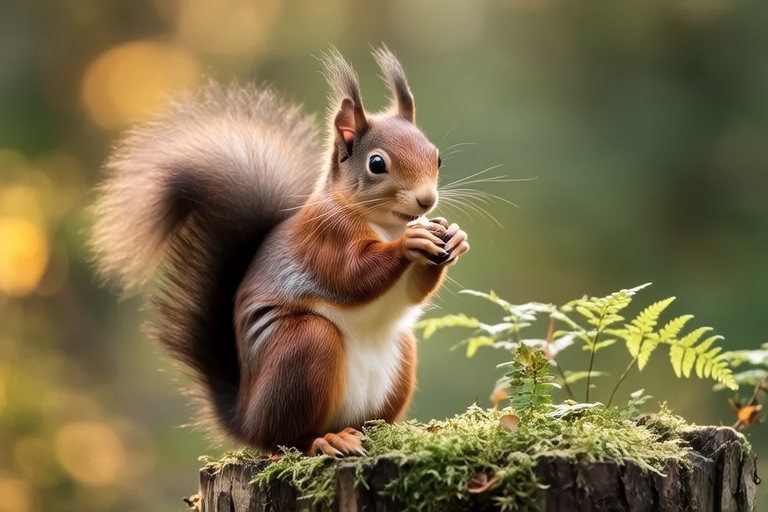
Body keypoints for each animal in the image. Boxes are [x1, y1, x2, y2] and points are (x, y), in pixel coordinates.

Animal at [90, 47, 469, 456]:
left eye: (437, 158)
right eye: (377, 164)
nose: (427, 200)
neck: (384, 223)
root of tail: (245, 419)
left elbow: (413, 292)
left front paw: (454, 237)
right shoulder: (324, 237)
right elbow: (352, 276)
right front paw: (409, 244)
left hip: (400, 354)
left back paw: (376, 430)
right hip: (304, 349)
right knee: (287, 438)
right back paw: (326, 439)